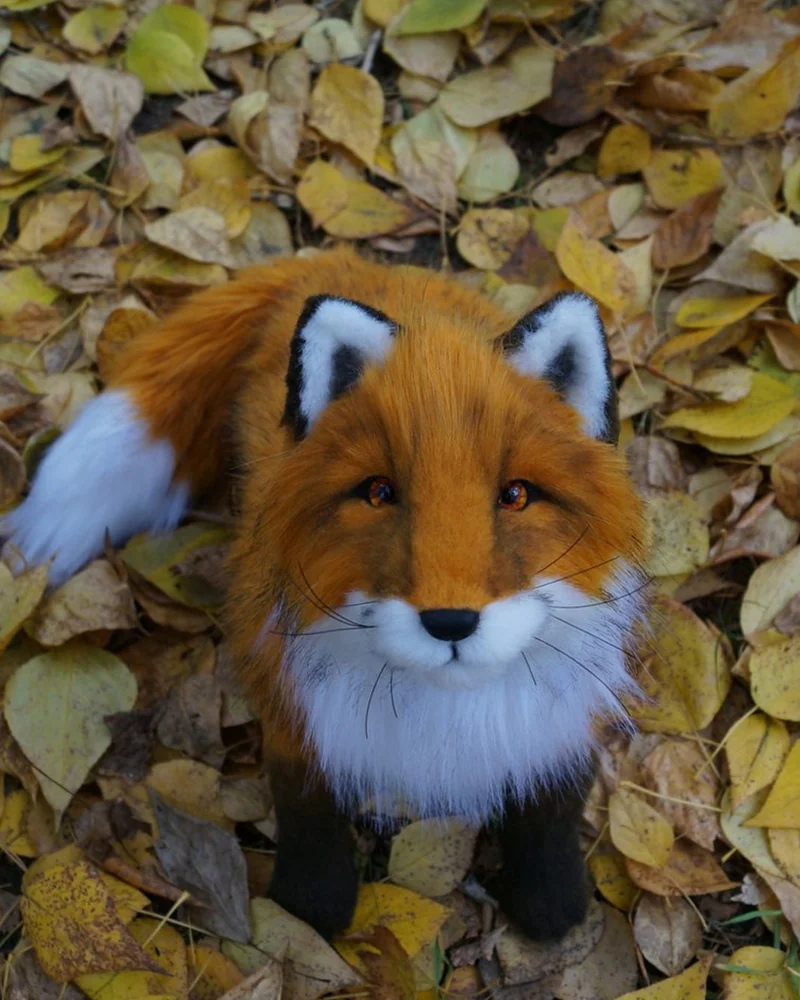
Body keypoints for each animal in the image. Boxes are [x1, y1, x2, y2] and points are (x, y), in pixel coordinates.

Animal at [3, 246, 647, 942]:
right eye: (379, 492)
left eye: (517, 495)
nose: (450, 621)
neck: (443, 718)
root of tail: (334, 260)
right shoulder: (295, 709)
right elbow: (308, 815)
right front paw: (310, 909)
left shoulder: (557, 726)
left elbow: (553, 812)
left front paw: (550, 899)